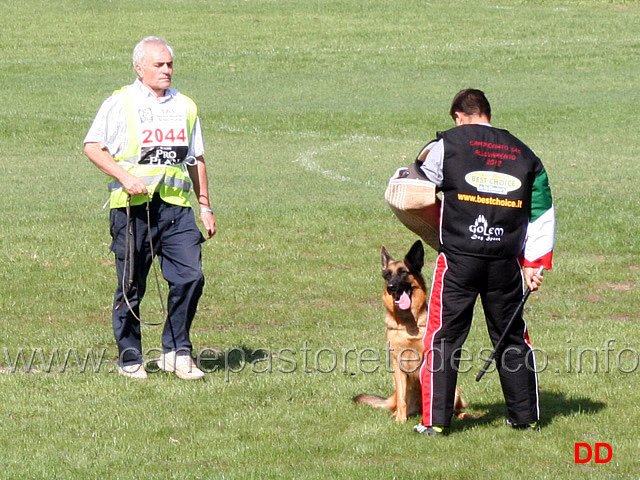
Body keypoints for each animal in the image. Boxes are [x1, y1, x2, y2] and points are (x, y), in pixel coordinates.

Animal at [352, 242, 468, 422]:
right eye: (388, 275)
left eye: (404, 272)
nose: (391, 287)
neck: (409, 324)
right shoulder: (397, 364)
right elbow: (402, 398)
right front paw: (400, 418)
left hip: (456, 391)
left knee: (455, 405)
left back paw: (460, 414)